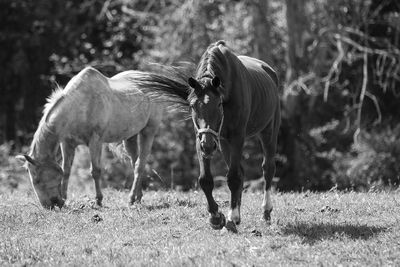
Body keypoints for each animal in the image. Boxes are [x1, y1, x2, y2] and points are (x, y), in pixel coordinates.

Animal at [16, 67, 188, 209]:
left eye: (37, 180)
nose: (50, 205)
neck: (79, 106)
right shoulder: (67, 143)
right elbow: (66, 170)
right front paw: (65, 198)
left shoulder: (95, 141)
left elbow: (95, 171)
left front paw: (98, 200)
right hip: (130, 137)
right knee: (135, 162)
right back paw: (137, 198)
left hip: (148, 131)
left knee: (140, 164)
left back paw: (131, 198)